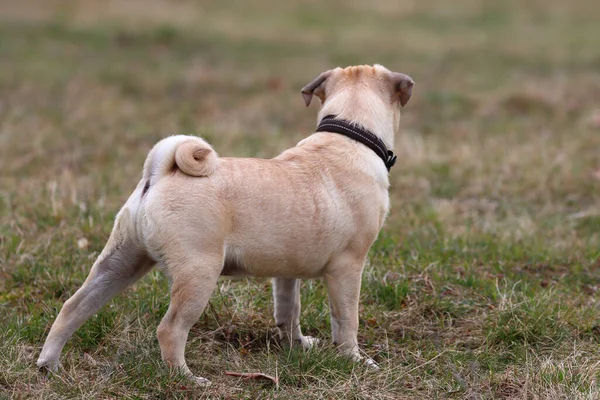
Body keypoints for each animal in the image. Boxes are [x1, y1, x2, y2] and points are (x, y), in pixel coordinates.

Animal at [36, 65, 412, 384]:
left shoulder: (286, 272)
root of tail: (161, 172)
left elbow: (288, 310)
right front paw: (355, 360)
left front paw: (297, 345)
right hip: (198, 273)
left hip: (121, 262)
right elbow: (347, 320)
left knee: (74, 307)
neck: (350, 134)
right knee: (170, 329)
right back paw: (186, 379)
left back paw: (49, 365)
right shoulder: (349, 267)